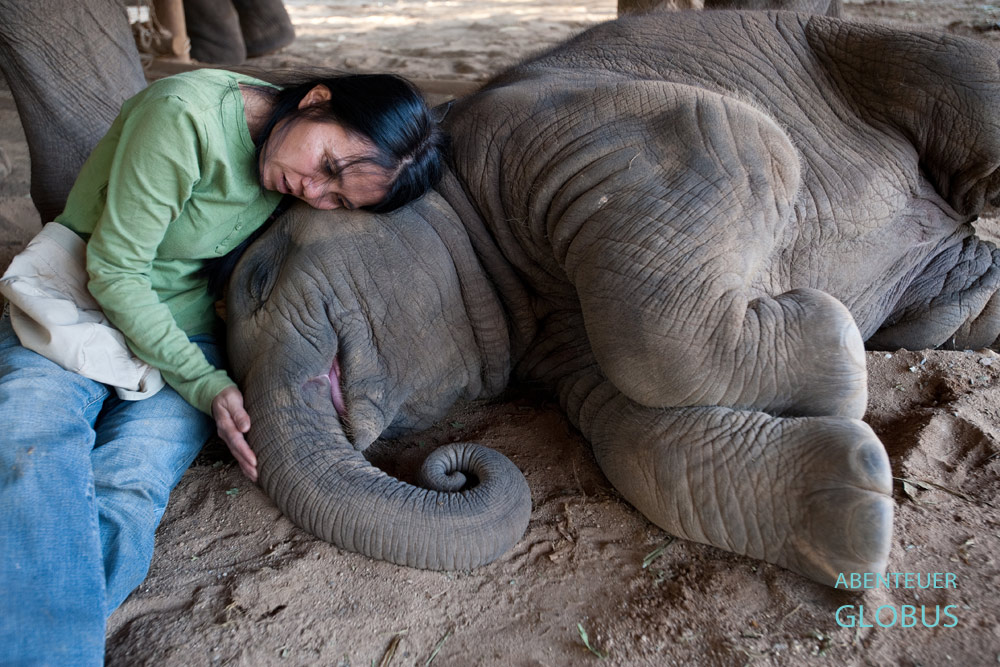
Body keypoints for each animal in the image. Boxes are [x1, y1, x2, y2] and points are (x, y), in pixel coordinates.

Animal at [223, 9, 1000, 589]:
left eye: (257, 276)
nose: (452, 469)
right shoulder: (552, 332)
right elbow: (633, 436)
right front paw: (856, 507)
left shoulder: (556, 127)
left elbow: (736, 142)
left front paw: (837, 352)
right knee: (949, 300)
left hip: (857, 43)